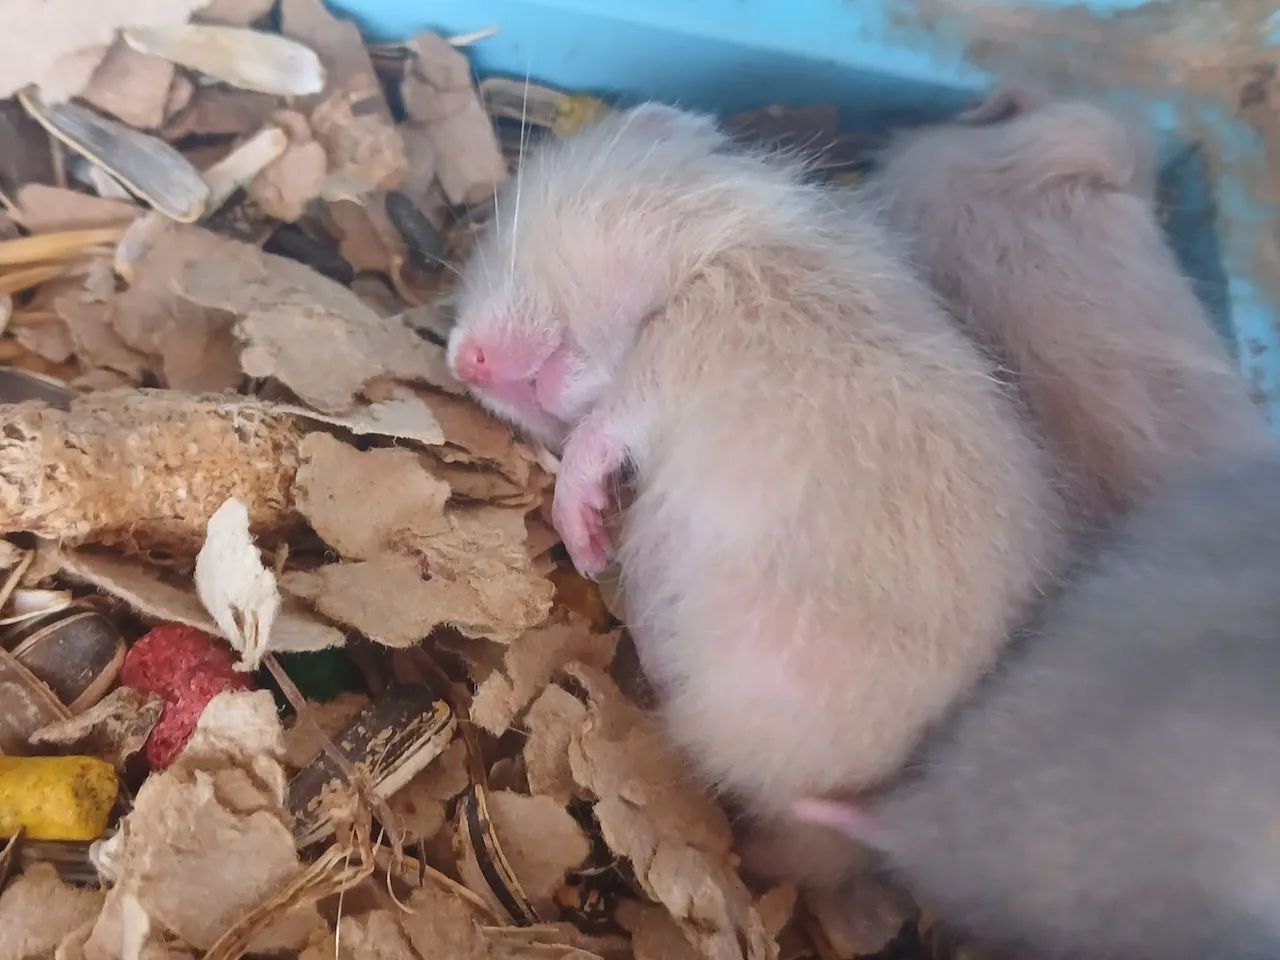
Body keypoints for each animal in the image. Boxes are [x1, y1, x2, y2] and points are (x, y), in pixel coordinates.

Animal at [446, 103, 1066, 886]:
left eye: (509, 233)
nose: (460, 360)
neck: (709, 249)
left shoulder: (693, 333)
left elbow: (606, 427)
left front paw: (586, 541)